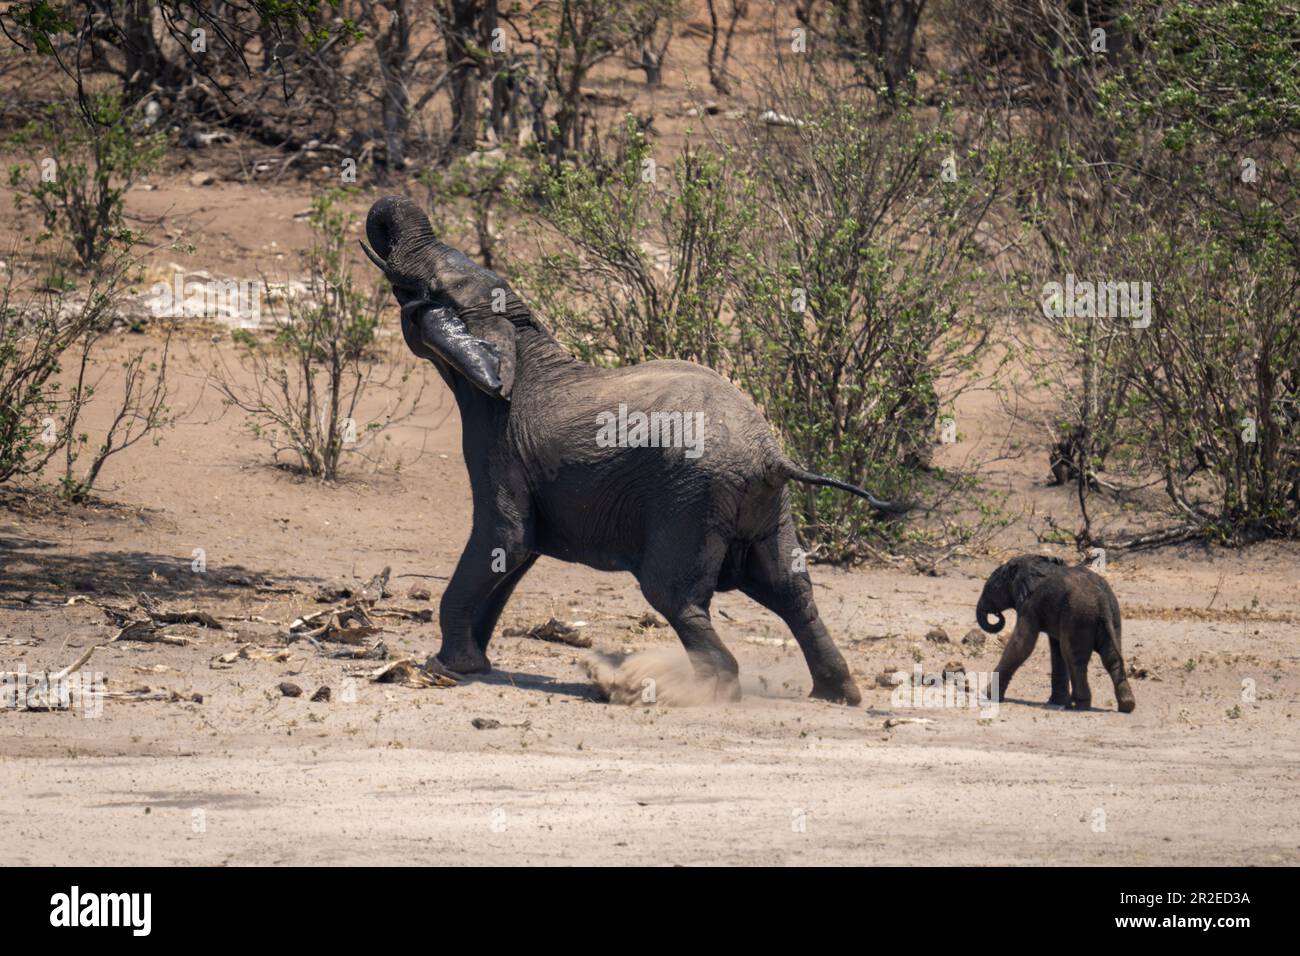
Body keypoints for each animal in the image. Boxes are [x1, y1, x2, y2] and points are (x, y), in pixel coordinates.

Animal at [360, 195, 905, 705]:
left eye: (434, 285)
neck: (523, 337)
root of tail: (772, 455)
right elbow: (514, 558)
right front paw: (473, 664)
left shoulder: (501, 441)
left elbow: (504, 539)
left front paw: (445, 667)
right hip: (767, 506)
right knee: (793, 594)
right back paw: (837, 694)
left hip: (691, 500)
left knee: (674, 596)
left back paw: (694, 689)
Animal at [976, 554, 1136, 712]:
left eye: (991, 587)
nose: (997, 614)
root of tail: (1102, 599)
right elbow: (1056, 649)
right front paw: (1056, 702)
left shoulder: (1030, 604)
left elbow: (1022, 644)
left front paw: (987, 696)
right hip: (1112, 615)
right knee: (1110, 657)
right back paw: (1126, 705)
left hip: (1079, 615)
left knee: (1073, 656)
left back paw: (1080, 705)